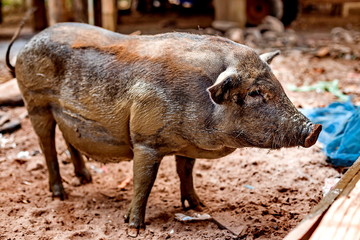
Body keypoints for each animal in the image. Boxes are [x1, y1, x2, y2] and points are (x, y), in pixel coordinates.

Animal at [4, 23, 320, 234]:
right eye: (255, 93)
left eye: (277, 84)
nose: (315, 128)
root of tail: (28, 44)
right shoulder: (145, 141)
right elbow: (144, 181)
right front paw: (134, 227)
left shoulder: (189, 144)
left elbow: (186, 171)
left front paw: (198, 206)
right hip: (35, 101)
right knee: (46, 143)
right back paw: (60, 194)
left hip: (63, 113)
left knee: (68, 139)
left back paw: (86, 179)